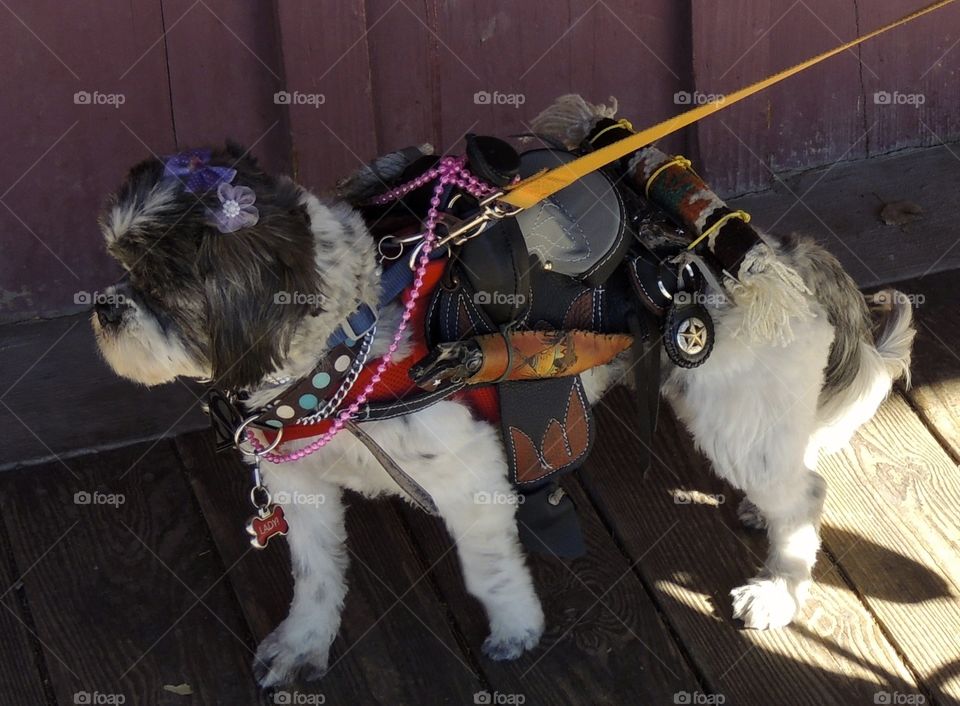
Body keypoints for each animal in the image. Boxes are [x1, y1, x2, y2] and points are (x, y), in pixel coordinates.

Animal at [92, 96, 916, 684]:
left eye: (166, 285)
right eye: (121, 267)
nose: (105, 307)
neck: (345, 348)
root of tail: (771, 253)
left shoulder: (471, 477)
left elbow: (488, 571)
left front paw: (516, 630)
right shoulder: (304, 487)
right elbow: (316, 577)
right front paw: (303, 646)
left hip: (731, 409)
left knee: (803, 495)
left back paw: (778, 583)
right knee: (791, 472)